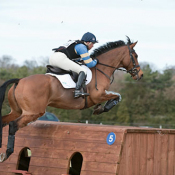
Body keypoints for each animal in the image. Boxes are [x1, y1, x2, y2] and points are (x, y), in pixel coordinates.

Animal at [0, 36, 143, 162]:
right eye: (135, 56)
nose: (140, 75)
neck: (100, 69)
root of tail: (20, 80)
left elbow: (117, 95)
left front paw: (99, 108)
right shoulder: (97, 95)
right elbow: (117, 96)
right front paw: (102, 108)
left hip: (17, 111)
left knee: (3, 121)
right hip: (33, 112)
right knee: (13, 125)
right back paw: (7, 153)